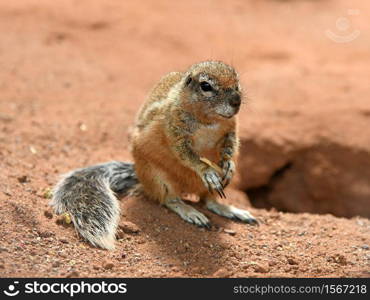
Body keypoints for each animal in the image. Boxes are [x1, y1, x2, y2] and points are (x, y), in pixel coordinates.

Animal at [51, 59, 258, 250]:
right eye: (206, 86)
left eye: (237, 82)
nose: (237, 102)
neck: (208, 121)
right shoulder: (174, 131)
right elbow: (186, 155)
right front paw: (206, 171)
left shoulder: (230, 130)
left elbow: (231, 145)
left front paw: (229, 165)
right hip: (160, 180)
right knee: (169, 200)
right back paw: (191, 212)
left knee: (208, 201)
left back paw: (231, 210)